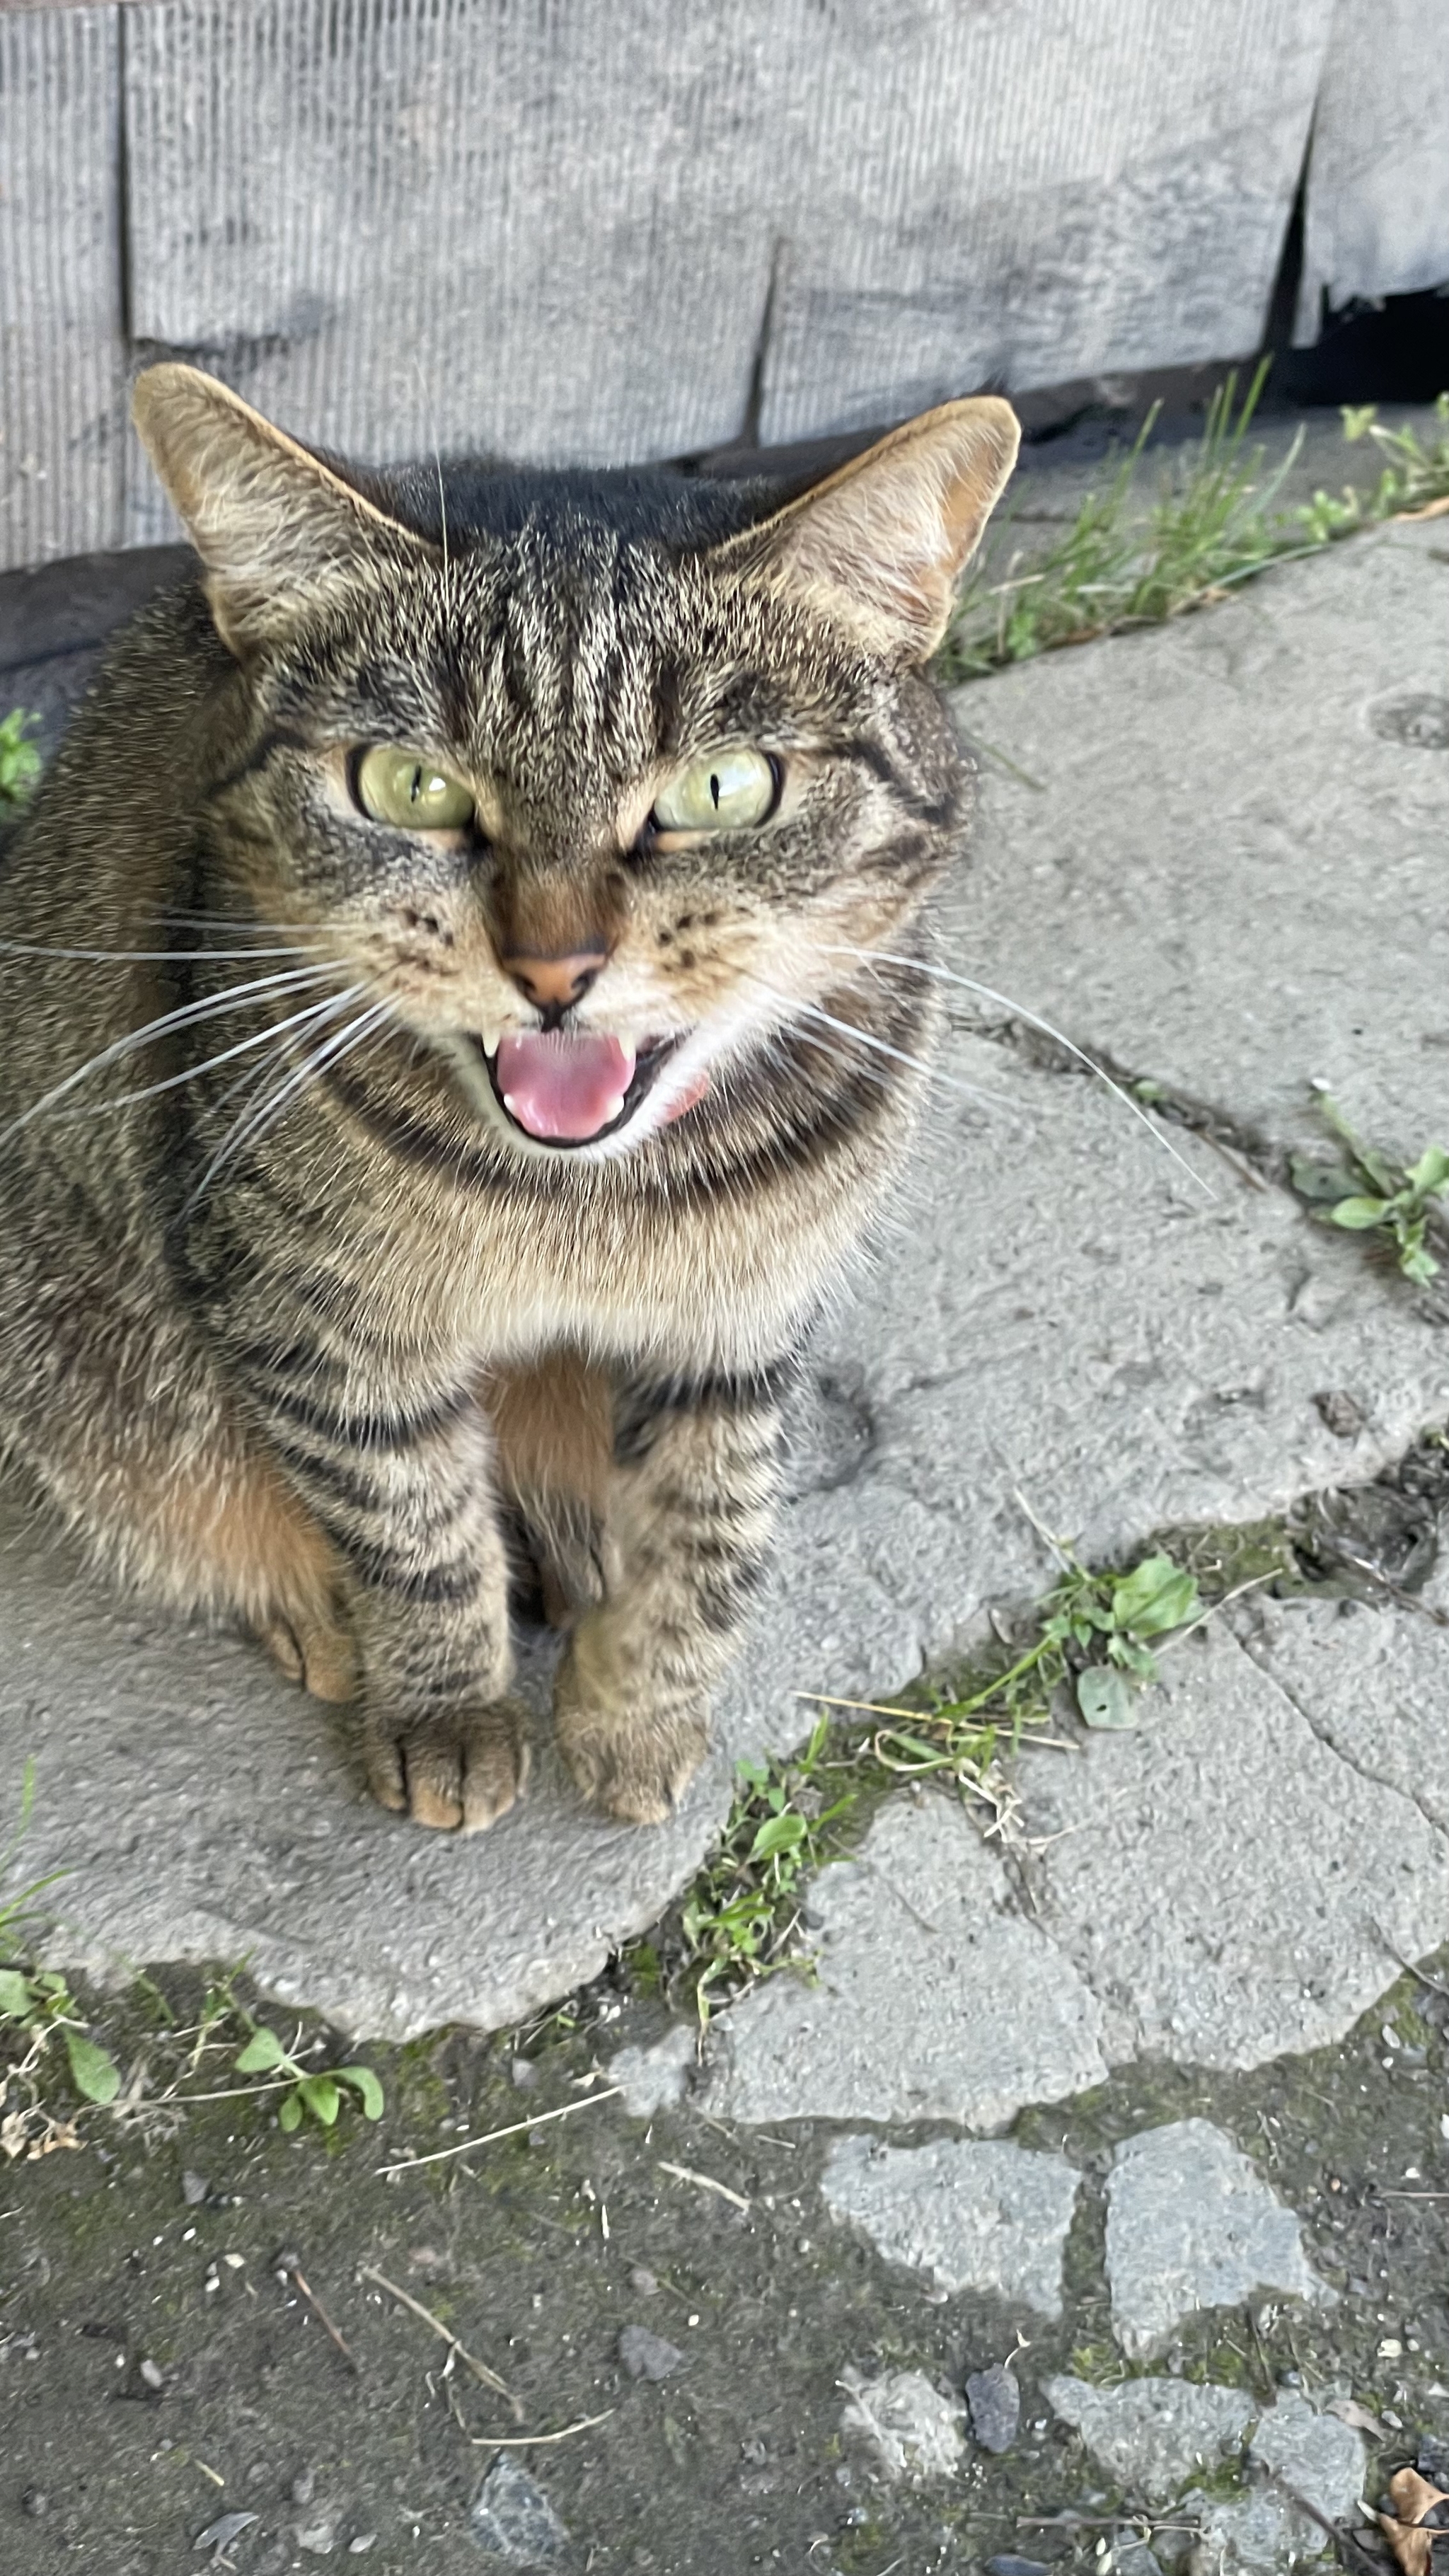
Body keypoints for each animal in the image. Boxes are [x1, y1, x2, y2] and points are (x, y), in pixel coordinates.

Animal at [0, 368, 1015, 1834]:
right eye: (407, 785)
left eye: (724, 788)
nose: (552, 968)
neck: (578, 1198)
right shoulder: (315, 1323)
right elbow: (410, 1525)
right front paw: (448, 1712)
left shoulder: (741, 1316)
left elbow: (709, 1525)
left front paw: (638, 1714)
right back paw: (318, 1616)